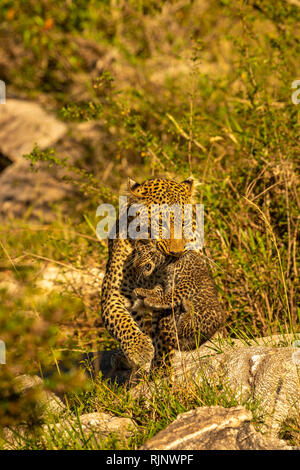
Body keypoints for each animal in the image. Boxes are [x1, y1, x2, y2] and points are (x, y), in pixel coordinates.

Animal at [99, 174, 196, 372]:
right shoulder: (112, 294)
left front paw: (161, 368)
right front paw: (140, 349)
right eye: (160, 224)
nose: (177, 253)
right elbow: (121, 321)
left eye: (184, 223)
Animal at [132, 239, 224, 368]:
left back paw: (187, 306)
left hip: (197, 318)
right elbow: (158, 290)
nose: (135, 266)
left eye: (141, 253)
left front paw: (151, 300)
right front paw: (142, 291)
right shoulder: (166, 283)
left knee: (181, 328)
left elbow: (171, 296)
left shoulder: (187, 282)